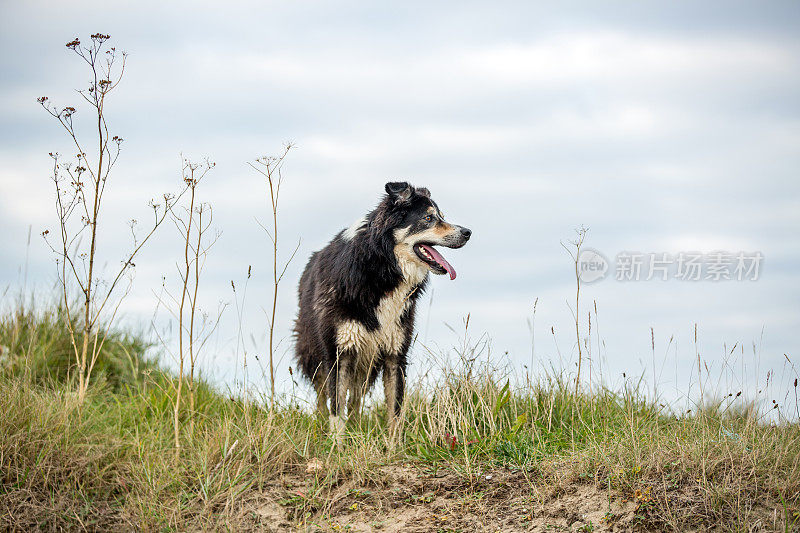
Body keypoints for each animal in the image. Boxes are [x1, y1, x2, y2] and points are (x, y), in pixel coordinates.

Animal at [292, 181, 468, 438]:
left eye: (441, 216)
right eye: (428, 218)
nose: (468, 232)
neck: (381, 269)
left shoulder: (395, 354)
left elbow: (395, 411)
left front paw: (394, 445)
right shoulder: (339, 353)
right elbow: (336, 410)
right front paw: (336, 444)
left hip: (365, 363)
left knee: (354, 401)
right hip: (314, 352)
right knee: (322, 397)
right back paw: (320, 427)